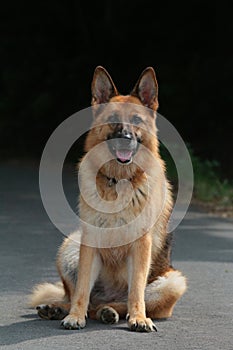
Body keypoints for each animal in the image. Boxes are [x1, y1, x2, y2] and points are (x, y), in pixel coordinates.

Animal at [29, 67, 187, 332]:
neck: (119, 181)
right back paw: (60, 309)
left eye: (136, 120)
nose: (125, 137)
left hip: (173, 282)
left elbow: (136, 291)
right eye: (113, 118)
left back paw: (109, 311)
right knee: (77, 297)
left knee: (123, 302)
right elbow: (82, 288)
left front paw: (139, 318)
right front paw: (74, 316)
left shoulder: (141, 245)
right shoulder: (90, 242)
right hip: (70, 245)